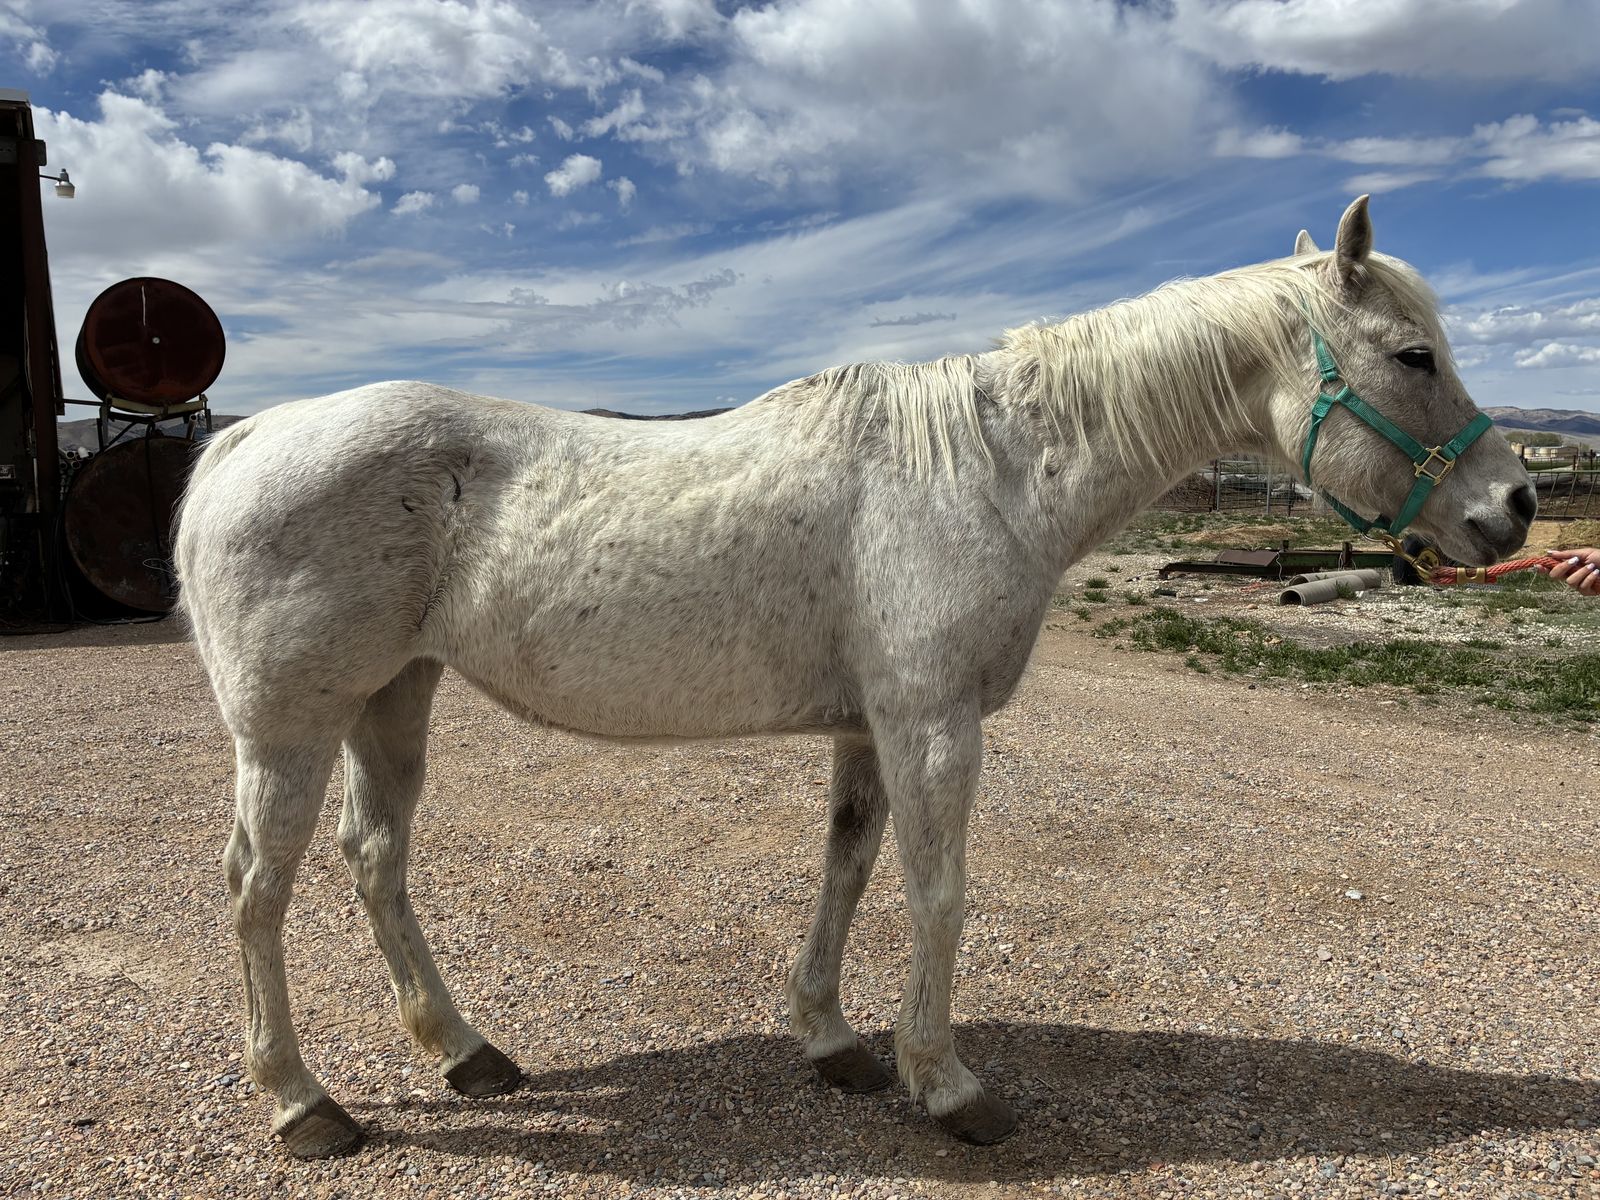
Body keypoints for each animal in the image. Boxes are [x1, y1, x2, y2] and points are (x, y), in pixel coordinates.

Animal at [174, 197, 1536, 1158]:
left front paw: (835, 1042)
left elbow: (849, 868)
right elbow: (938, 894)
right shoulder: (934, 722)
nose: (1511, 509)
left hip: (392, 698)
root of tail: (249, 438)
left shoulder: (868, 727)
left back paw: (464, 1052)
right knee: (254, 889)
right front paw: (947, 1085)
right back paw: (304, 1104)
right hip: (291, 726)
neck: (987, 468)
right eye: (1411, 355)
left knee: (374, 861)